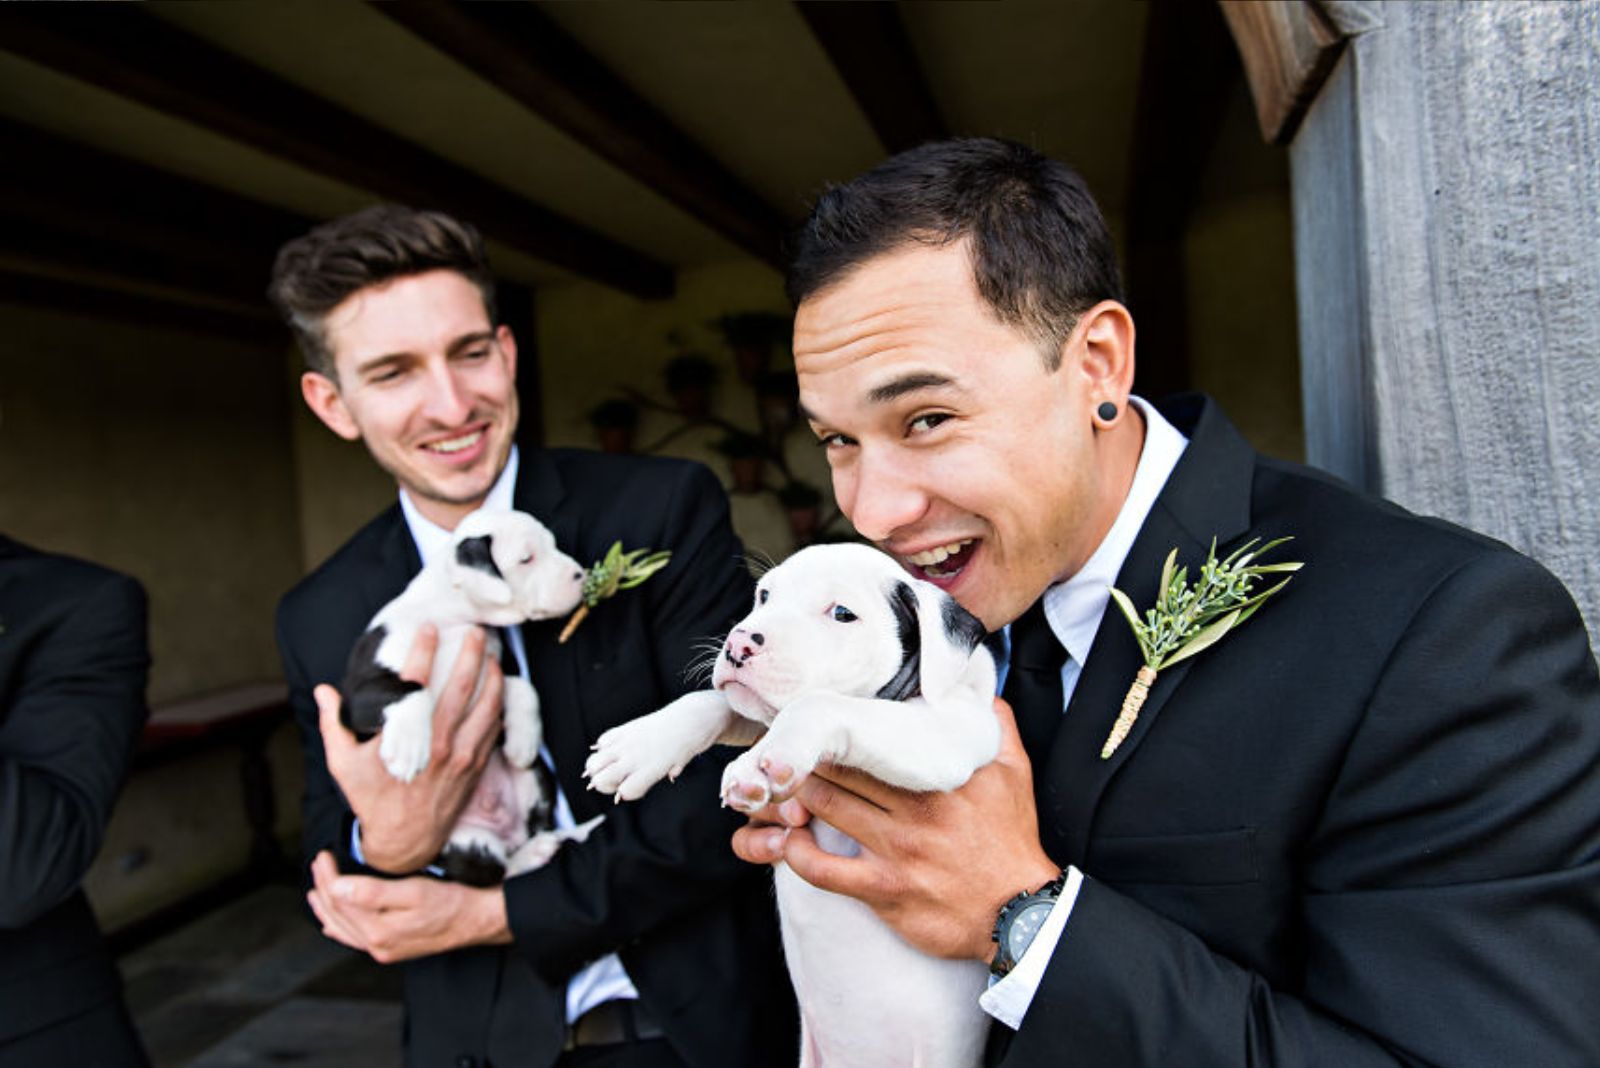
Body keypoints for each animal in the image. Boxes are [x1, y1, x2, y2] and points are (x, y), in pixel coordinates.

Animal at [344, 508, 601, 882]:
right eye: (526, 558)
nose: (580, 575)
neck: (450, 617)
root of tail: (507, 832)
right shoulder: (357, 695)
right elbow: (410, 689)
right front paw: (408, 747)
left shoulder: (498, 662)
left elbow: (523, 687)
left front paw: (523, 741)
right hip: (462, 841)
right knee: (491, 872)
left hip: (537, 778)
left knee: (521, 846)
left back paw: (542, 845)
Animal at [582, 543, 992, 1068]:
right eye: (764, 596)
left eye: (842, 614)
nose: (739, 643)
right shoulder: (751, 709)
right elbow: (714, 702)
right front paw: (639, 747)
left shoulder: (950, 733)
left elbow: (818, 704)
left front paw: (759, 765)